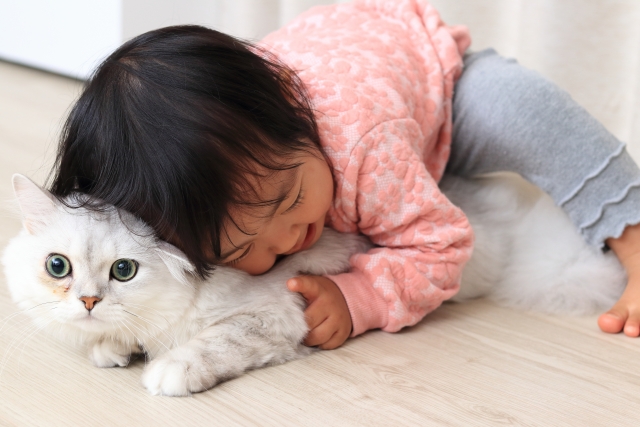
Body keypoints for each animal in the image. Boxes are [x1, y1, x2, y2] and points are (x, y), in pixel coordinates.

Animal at [0, 173, 628, 398]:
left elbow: (207, 346)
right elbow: (122, 339)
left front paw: (167, 372)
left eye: (123, 271)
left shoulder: (271, 317)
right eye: (58, 267)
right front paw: (112, 347)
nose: (87, 301)